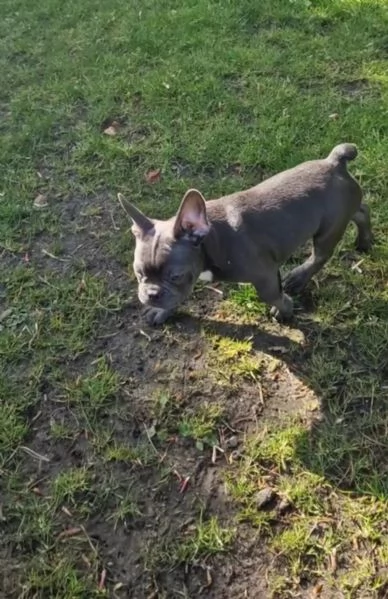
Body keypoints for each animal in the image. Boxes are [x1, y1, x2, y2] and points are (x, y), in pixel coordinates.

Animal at [119, 143, 372, 326]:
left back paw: (298, 277)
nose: (151, 294)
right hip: (344, 211)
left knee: (320, 255)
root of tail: (334, 162)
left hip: (328, 229)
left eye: (175, 276)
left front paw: (285, 309)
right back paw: (364, 241)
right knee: (361, 212)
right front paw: (160, 311)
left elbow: (273, 296)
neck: (212, 240)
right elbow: (177, 296)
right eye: (138, 273)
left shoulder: (265, 275)